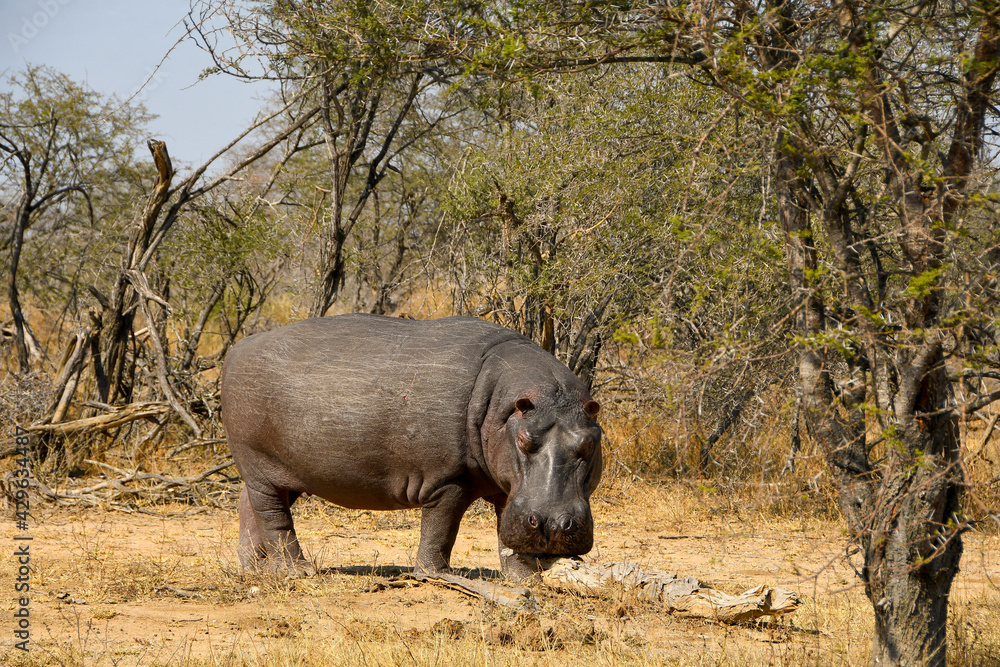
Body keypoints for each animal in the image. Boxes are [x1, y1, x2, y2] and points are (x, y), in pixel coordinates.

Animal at [220, 313, 602, 581]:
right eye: (523, 441)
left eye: (588, 445)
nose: (553, 524)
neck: (503, 407)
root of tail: (236, 348)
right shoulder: (447, 479)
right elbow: (441, 528)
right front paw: (435, 575)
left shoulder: (509, 490)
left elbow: (507, 537)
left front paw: (523, 581)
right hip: (260, 467)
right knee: (273, 515)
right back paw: (296, 570)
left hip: (289, 471)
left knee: (247, 505)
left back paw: (253, 568)